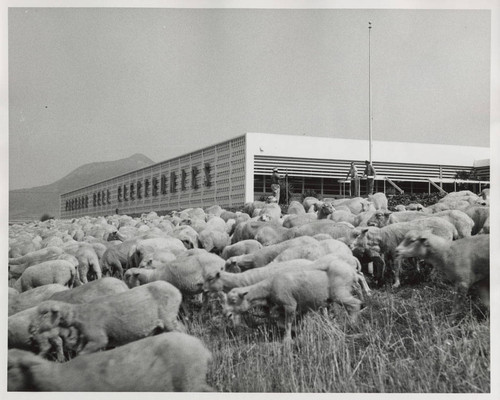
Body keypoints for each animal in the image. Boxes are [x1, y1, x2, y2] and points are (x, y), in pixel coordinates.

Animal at [29, 280, 186, 358]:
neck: (80, 314)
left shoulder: (98, 338)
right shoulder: (87, 339)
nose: (31, 329)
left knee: (182, 330)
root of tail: (177, 291)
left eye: (44, 313)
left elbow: (83, 354)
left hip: (169, 318)